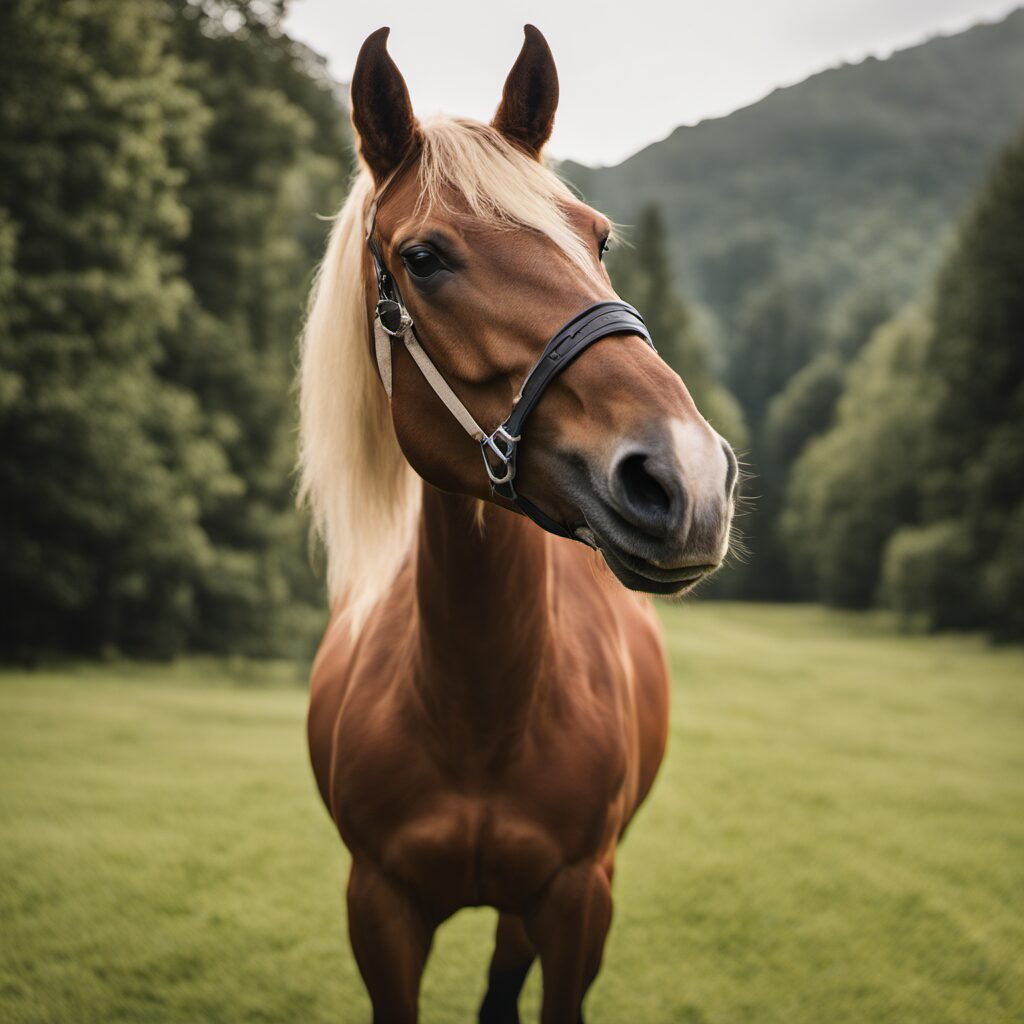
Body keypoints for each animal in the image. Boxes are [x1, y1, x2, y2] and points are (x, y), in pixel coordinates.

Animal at [298, 25, 737, 1024]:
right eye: (423, 258)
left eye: (597, 237)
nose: (686, 476)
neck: (475, 717)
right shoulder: (377, 907)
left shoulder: (578, 902)